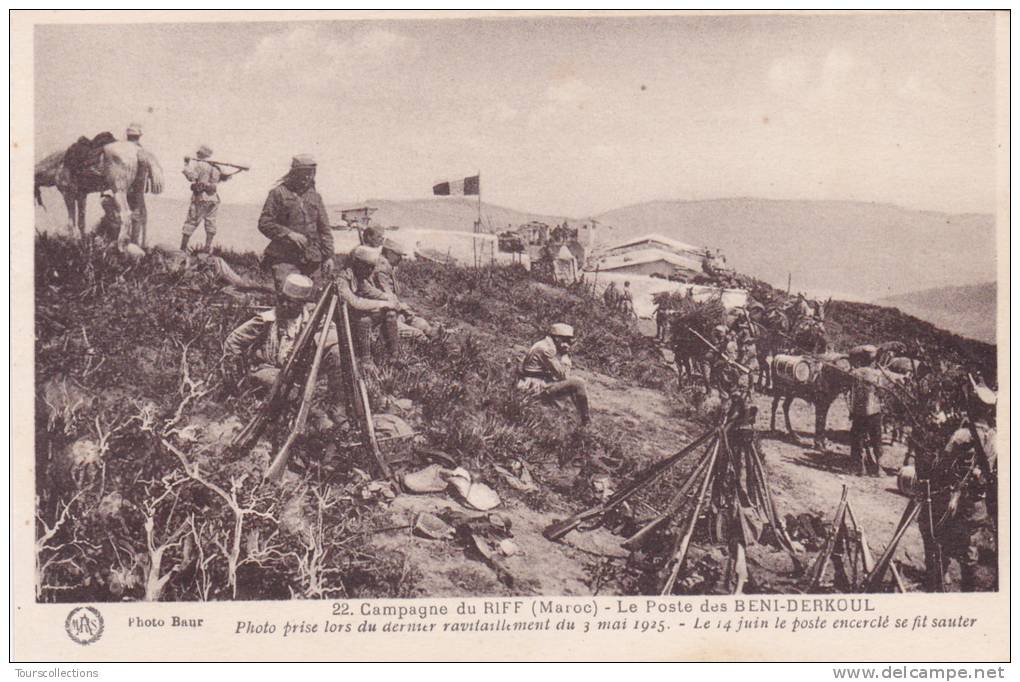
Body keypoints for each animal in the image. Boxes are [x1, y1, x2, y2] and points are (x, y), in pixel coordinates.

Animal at [33, 139, 163, 245]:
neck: (57, 165)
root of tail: (137, 150)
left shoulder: (67, 194)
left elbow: (71, 222)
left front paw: (72, 242)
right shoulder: (81, 196)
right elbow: (81, 221)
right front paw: (82, 242)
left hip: (119, 191)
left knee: (126, 215)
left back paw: (120, 246)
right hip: (137, 190)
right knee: (142, 214)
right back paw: (140, 246)